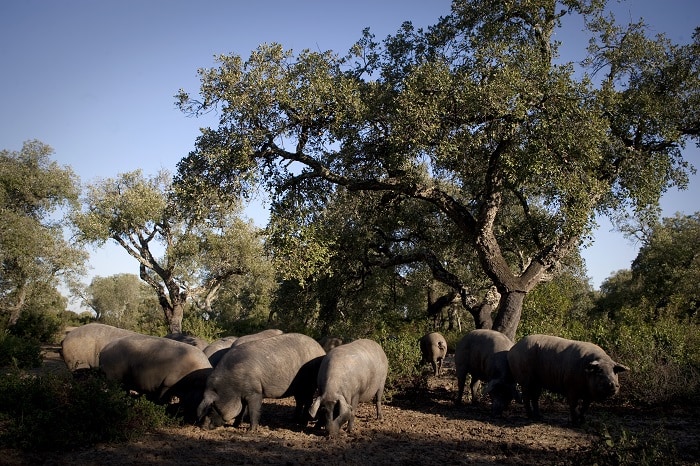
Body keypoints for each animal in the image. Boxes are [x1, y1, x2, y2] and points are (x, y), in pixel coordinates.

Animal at [197, 334, 326, 432]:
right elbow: (241, 410)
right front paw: (235, 425)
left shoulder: (255, 392)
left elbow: (253, 410)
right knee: (300, 401)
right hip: (299, 388)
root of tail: (320, 349)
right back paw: (293, 419)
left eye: (212, 407)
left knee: (308, 401)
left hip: (310, 384)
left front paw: (250, 431)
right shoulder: (242, 395)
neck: (230, 387)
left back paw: (303, 422)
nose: (202, 427)